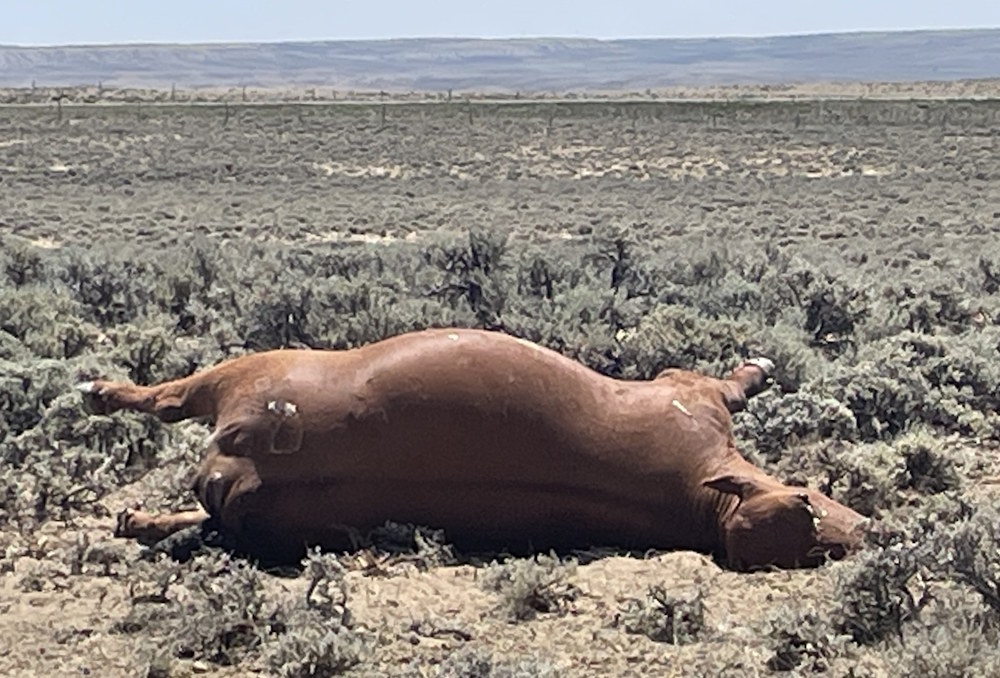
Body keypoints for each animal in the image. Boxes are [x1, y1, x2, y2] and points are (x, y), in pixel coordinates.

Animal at [77, 328, 867, 570]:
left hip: (245, 386)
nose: (871, 532)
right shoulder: (690, 392)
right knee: (165, 409)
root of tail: (241, 461)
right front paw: (759, 368)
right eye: (805, 501)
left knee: (171, 413)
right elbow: (737, 384)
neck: (698, 492)